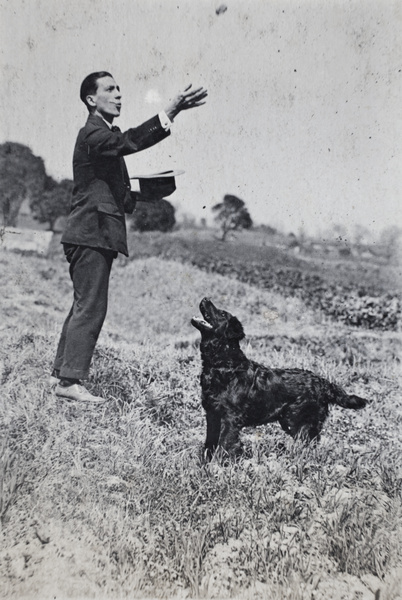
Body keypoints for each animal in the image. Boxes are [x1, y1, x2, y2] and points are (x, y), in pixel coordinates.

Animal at [192, 298, 368, 460]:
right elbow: (209, 444)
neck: (222, 364)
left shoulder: (229, 418)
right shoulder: (212, 415)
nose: (205, 299)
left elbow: (224, 445)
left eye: (222, 313)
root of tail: (323, 382)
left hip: (299, 422)